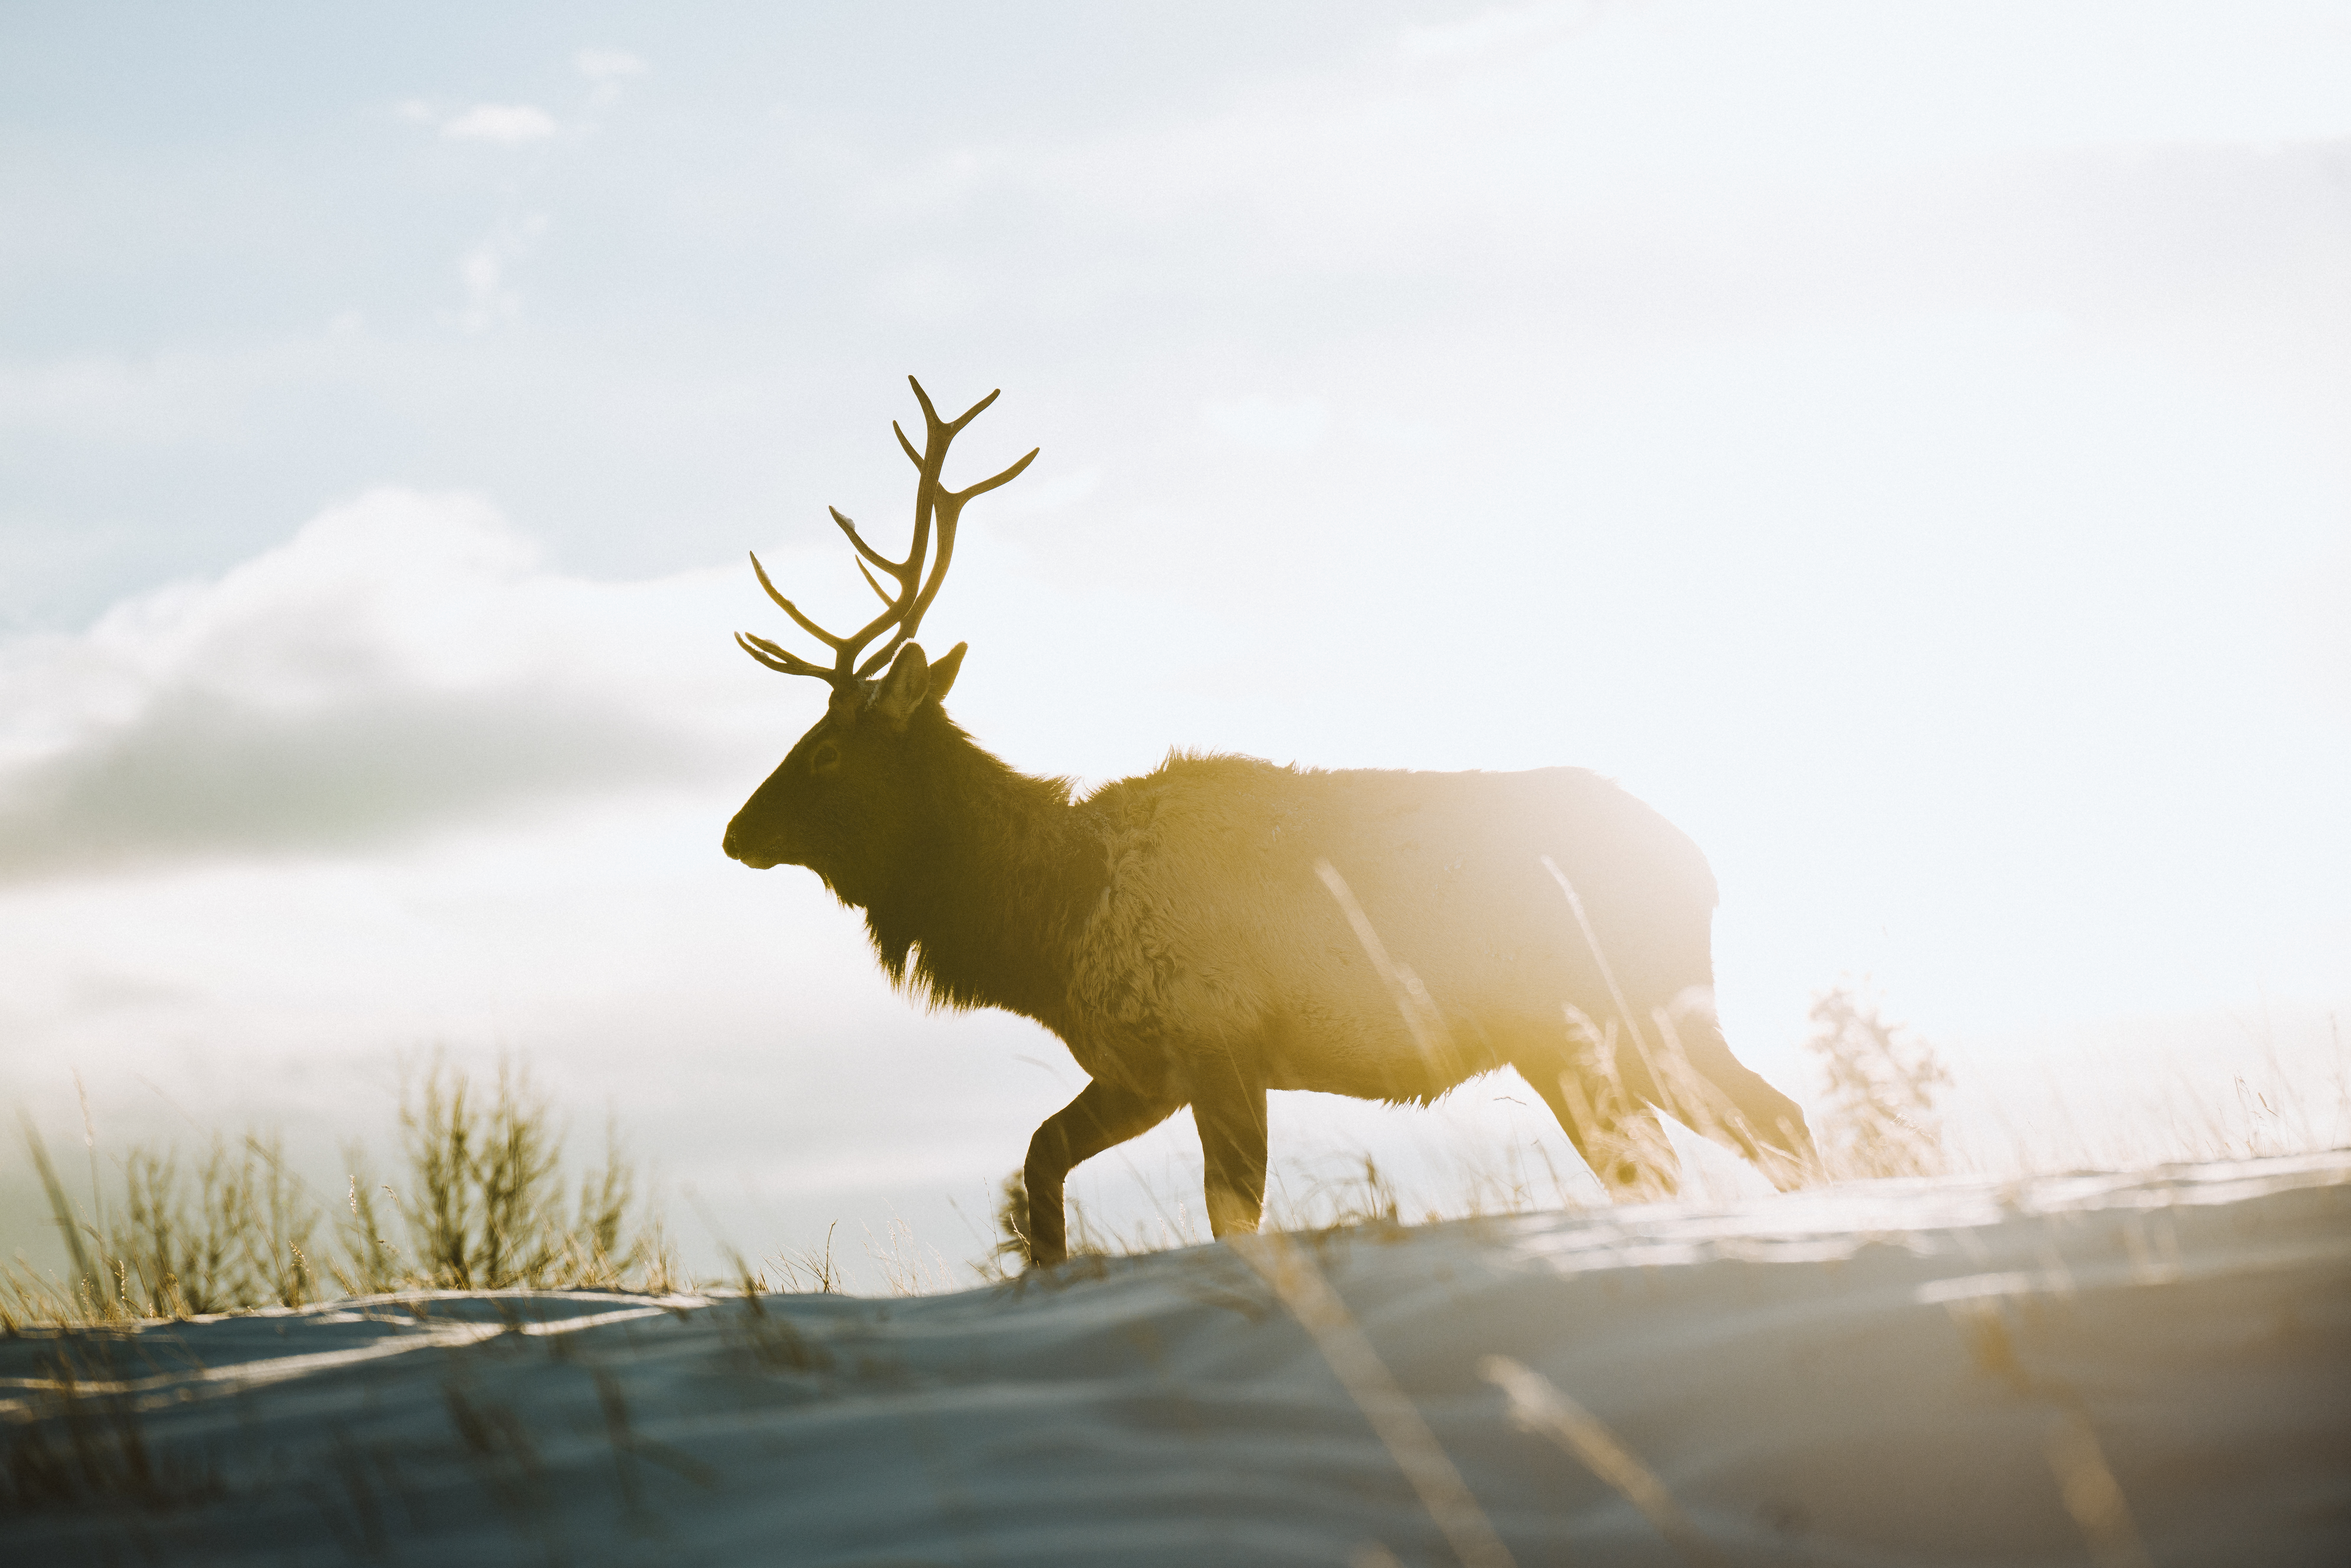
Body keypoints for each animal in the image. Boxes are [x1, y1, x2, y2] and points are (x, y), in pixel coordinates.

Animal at [723, 378, 1816, 1268]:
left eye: (826, 753)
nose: (735, 833)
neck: (1049, 924)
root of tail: (1703, 866)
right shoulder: (1144, 1068)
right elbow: (1040, 1165)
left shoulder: (1218, 1042)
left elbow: (1230, 1216)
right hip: (1577, 1044)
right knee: (1684, 1158)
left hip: (1630, 1014)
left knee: (1776, 1122)